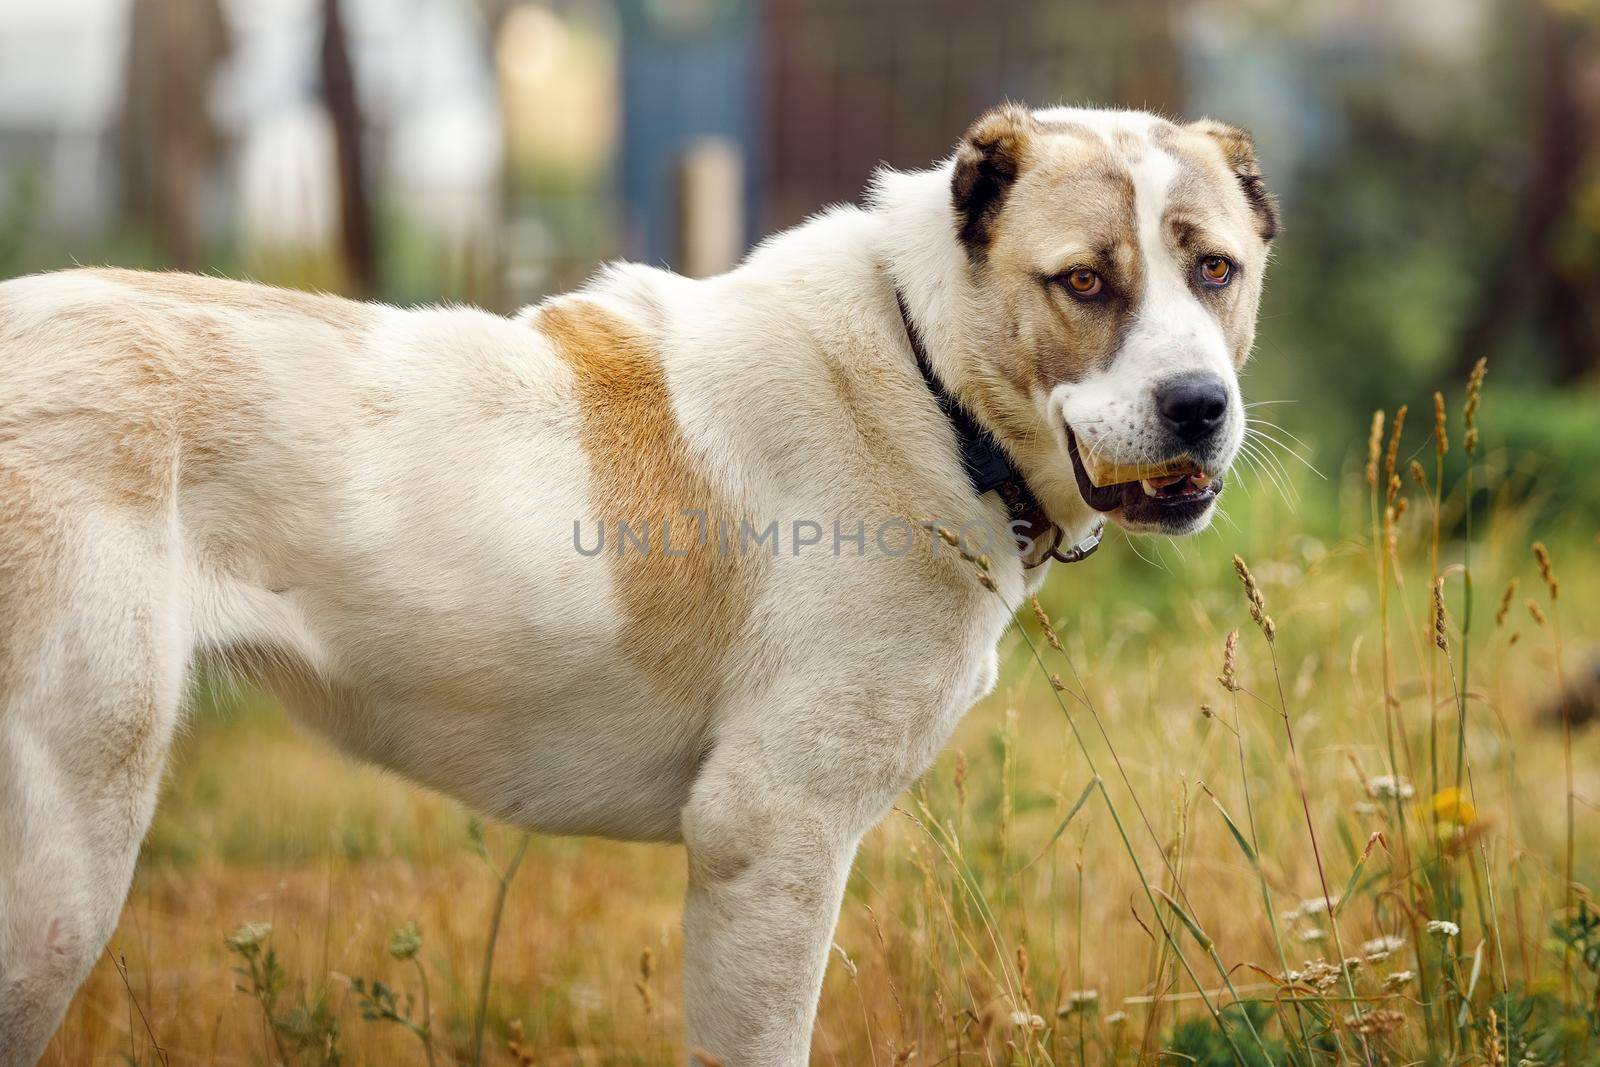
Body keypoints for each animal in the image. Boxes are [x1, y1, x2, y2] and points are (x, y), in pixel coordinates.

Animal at [0, 102, 1273, 1067]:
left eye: (1215, 269)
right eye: (1084, 283)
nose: (1198, 407)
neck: (925, 375)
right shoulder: (770, 837)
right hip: (62, 868)